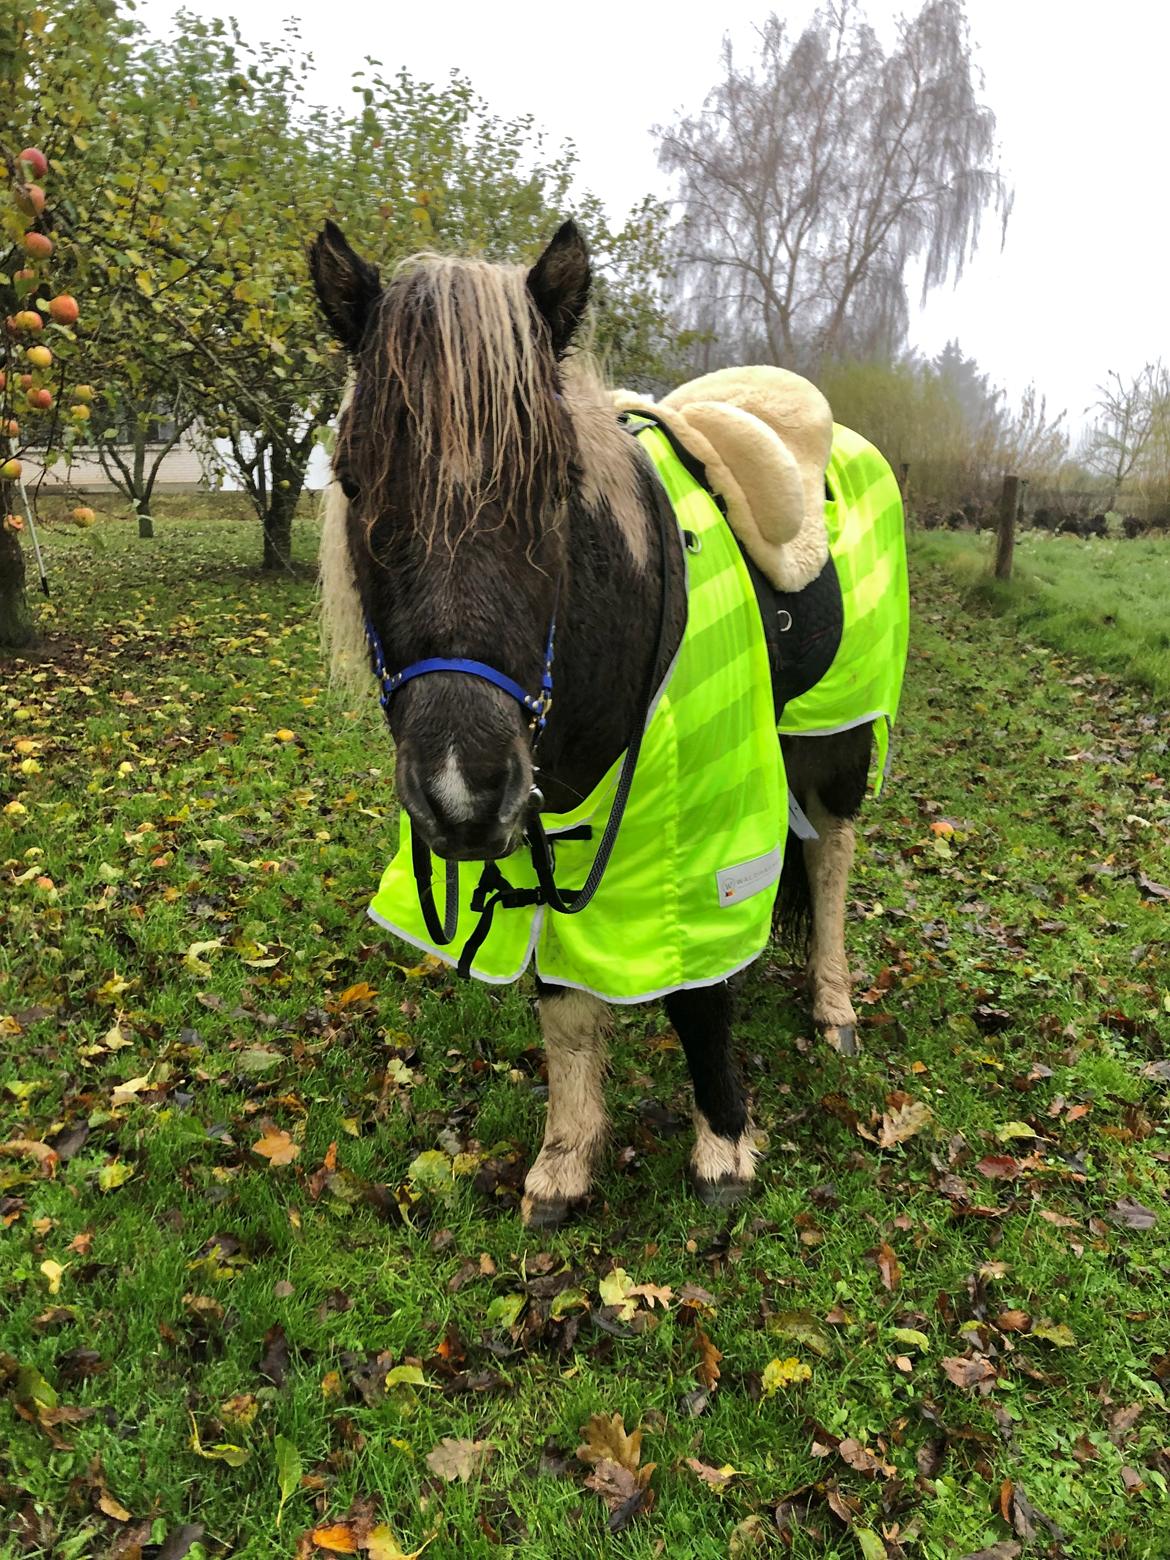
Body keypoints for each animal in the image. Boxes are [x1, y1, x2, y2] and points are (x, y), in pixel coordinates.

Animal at [312, 216, 904, 1229]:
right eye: (352, 477)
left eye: (555, 483)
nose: (461, 791)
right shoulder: (539, 832)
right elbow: (563, 1001)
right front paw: (567, 1157)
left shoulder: (706, 828)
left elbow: (699, 999)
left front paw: (723, 1147)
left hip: (836, 742)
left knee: (830, 855)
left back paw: (834, 1006)